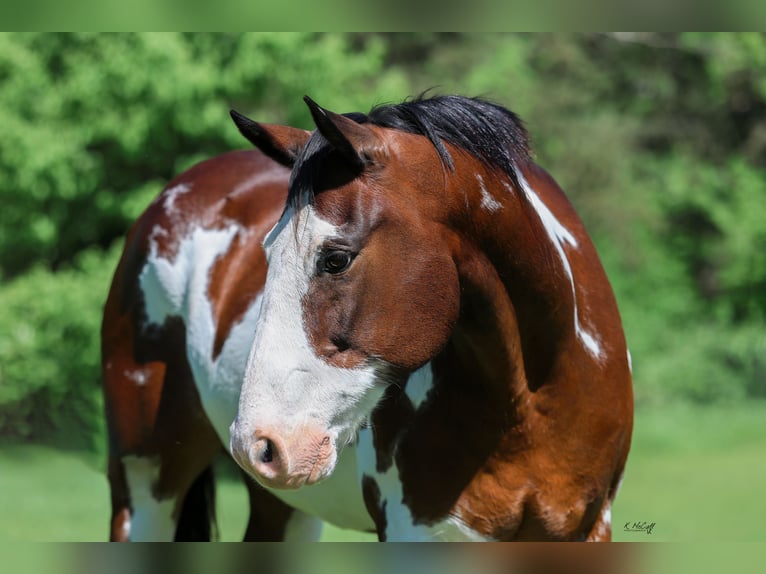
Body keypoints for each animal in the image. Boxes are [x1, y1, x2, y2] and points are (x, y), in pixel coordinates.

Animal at [101, 94, 633, 541]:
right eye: (267, 254)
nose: (259, 444)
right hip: (146, 486)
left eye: (336, 259)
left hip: (285, 508)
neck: (532, 403)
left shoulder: (587, 530)